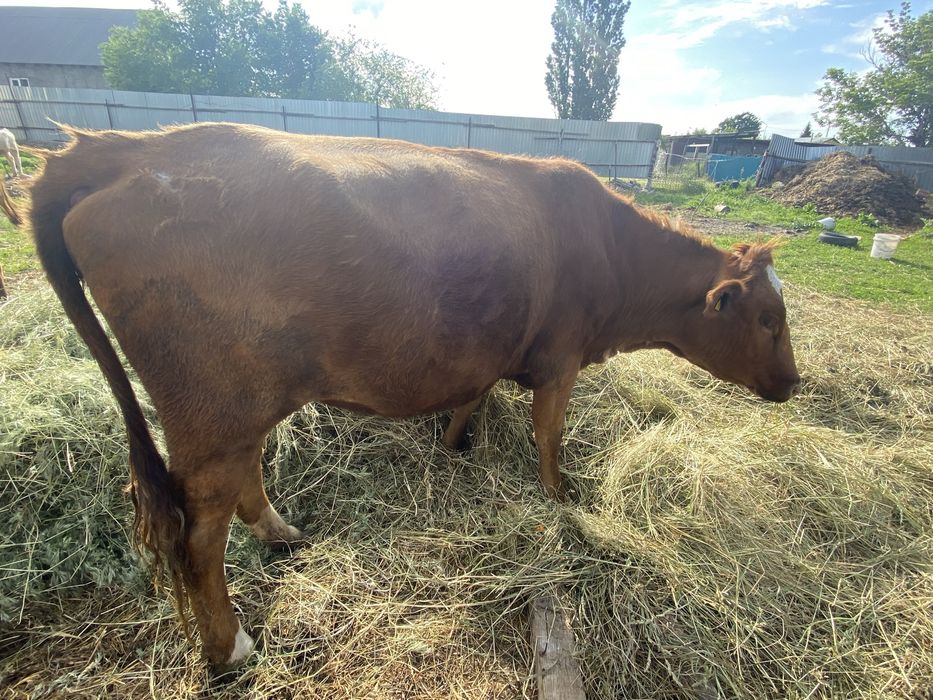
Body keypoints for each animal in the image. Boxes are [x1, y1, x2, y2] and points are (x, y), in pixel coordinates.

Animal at [22, 122, 799, 668]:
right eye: (768, 318)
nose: (794, 382)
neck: (608, 248)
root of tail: (126, 150)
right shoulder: (559, 360)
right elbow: (548, 436)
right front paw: (561, 503)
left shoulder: (493, 355)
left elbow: (471, 399)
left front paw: (456, 447)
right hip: (211, 412)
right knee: (199, 534)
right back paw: (228, 647)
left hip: (238, 408)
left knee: (243, 483)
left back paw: (281, 533)